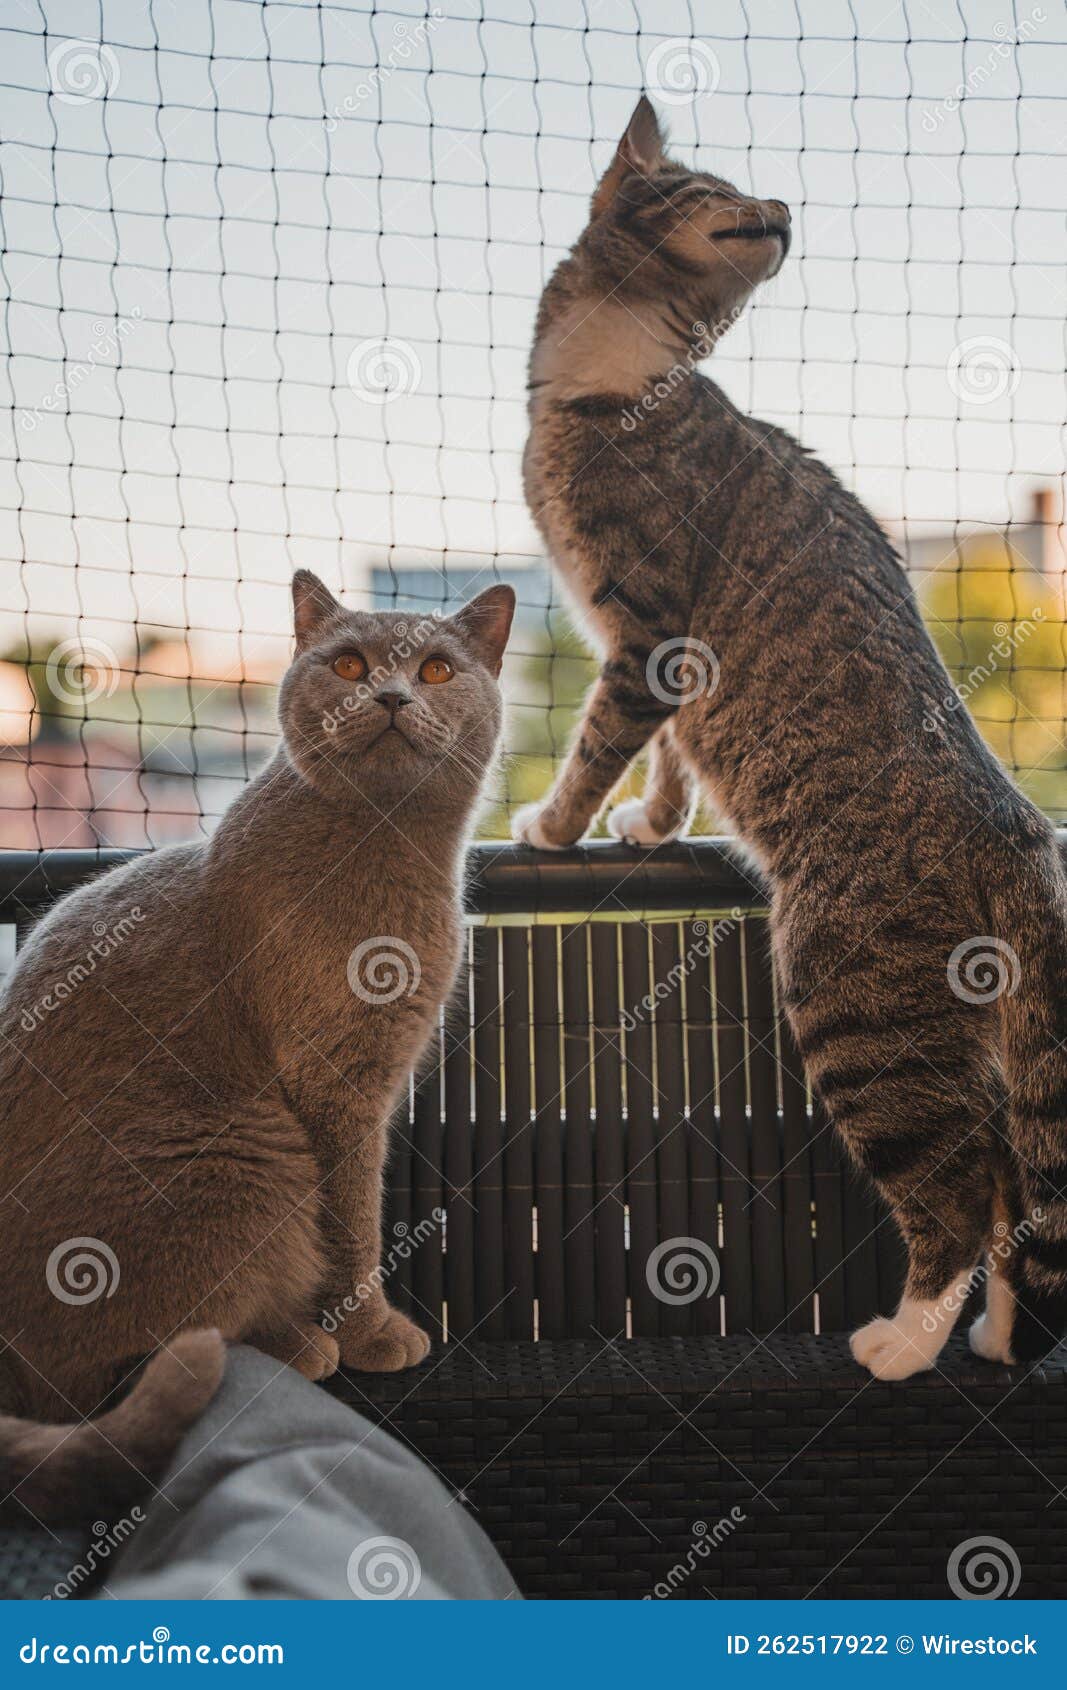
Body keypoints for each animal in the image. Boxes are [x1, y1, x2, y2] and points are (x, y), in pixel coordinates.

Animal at [0, 571, 517, 1521]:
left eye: (434, 668)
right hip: (243, 1153)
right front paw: (370, 1332)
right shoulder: (335, 1084)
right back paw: (300, 1345)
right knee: (133, 1356)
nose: (389, 694)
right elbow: (353, 1220)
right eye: (346, 663)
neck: (389, 855)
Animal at [514, 98, 1061, 1379]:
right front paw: (648, 824)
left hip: (849, 999)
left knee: (958, 1182)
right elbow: (670, 754)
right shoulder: (666, 659)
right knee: (1010, 1181)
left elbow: (604, 735)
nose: (783, 205)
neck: (618, 376)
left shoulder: (646, 628)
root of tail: (1013, 823)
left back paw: (904, 1340)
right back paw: (989, 1333)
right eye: (719, 183)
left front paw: (555, 825)